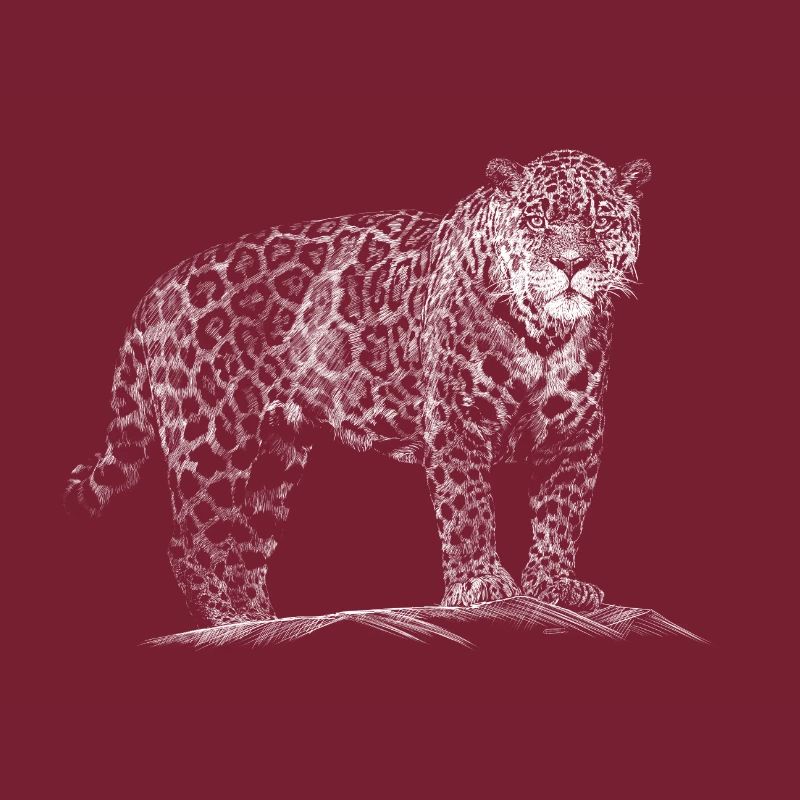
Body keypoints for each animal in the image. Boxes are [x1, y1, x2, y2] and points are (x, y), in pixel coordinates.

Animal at [65, 149, 651, 627]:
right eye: (535, 220)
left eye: (602, 221)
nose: (570, 263)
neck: (545, 333)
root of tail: (153, 292)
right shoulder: (455, 420)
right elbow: (467, 507)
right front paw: (480, 584)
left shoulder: (576, 431)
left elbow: (561, 512)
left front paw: (554, 586)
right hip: (212, 439)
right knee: (192, 541)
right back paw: (230, 622)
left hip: (275, 455)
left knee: (244, 548)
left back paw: (263, 620)